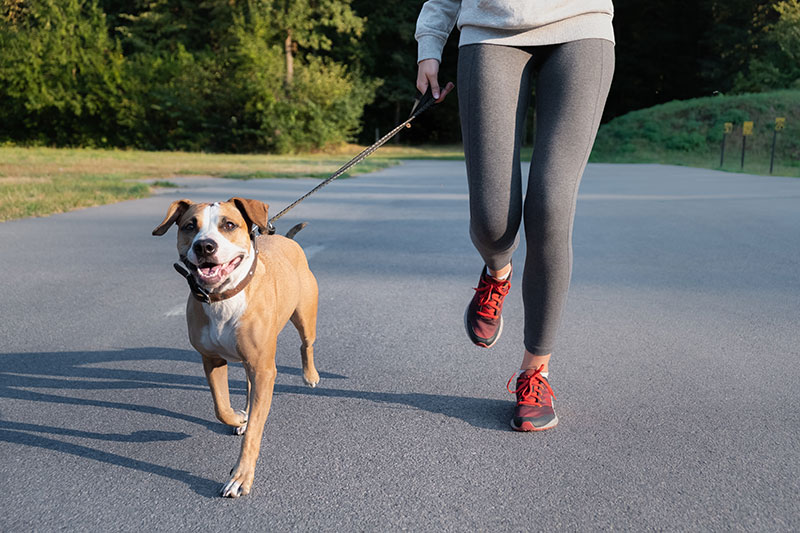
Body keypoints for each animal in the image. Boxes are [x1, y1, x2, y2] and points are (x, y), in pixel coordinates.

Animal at [153, 197, 318, 496]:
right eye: (189, 226)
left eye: (229, 225)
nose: (205, 246)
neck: (223, 297)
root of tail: (287, 240)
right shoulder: (212, 360)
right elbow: (221, 407)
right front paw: (240, 418)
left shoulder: (264, 369)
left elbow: (254, 431)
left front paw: (241, 477)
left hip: (305, 316)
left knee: (306, 344)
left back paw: (310, 376)